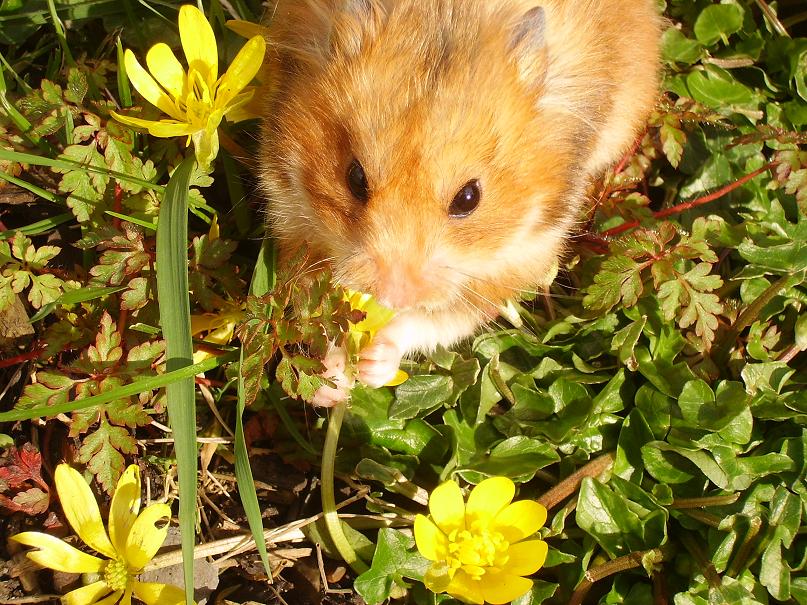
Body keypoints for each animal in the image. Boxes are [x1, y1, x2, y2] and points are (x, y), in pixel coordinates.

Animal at [258, 2, 664, 404]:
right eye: (355, 179)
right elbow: (318, 308)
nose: (392, 296)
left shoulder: (515, 261)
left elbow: (433, 321)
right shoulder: (291, 213)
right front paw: (329, 387)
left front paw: (374, 363)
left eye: (469, 198)